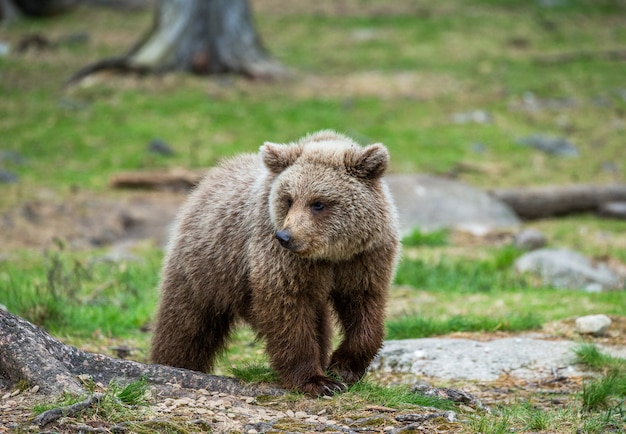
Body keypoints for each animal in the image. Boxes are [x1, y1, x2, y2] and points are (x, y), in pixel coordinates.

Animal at [149, 130, 398, 396]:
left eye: (318, 203)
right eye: (288, 199)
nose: (286, 237)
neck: (330, 254)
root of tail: (208, 180)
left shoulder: (364, 258)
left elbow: (364, 306)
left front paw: (342, 367)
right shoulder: (281, 260)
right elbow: (287, 311)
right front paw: (317, 380)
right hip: (206, 266)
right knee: (187, 325)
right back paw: (173, 363)